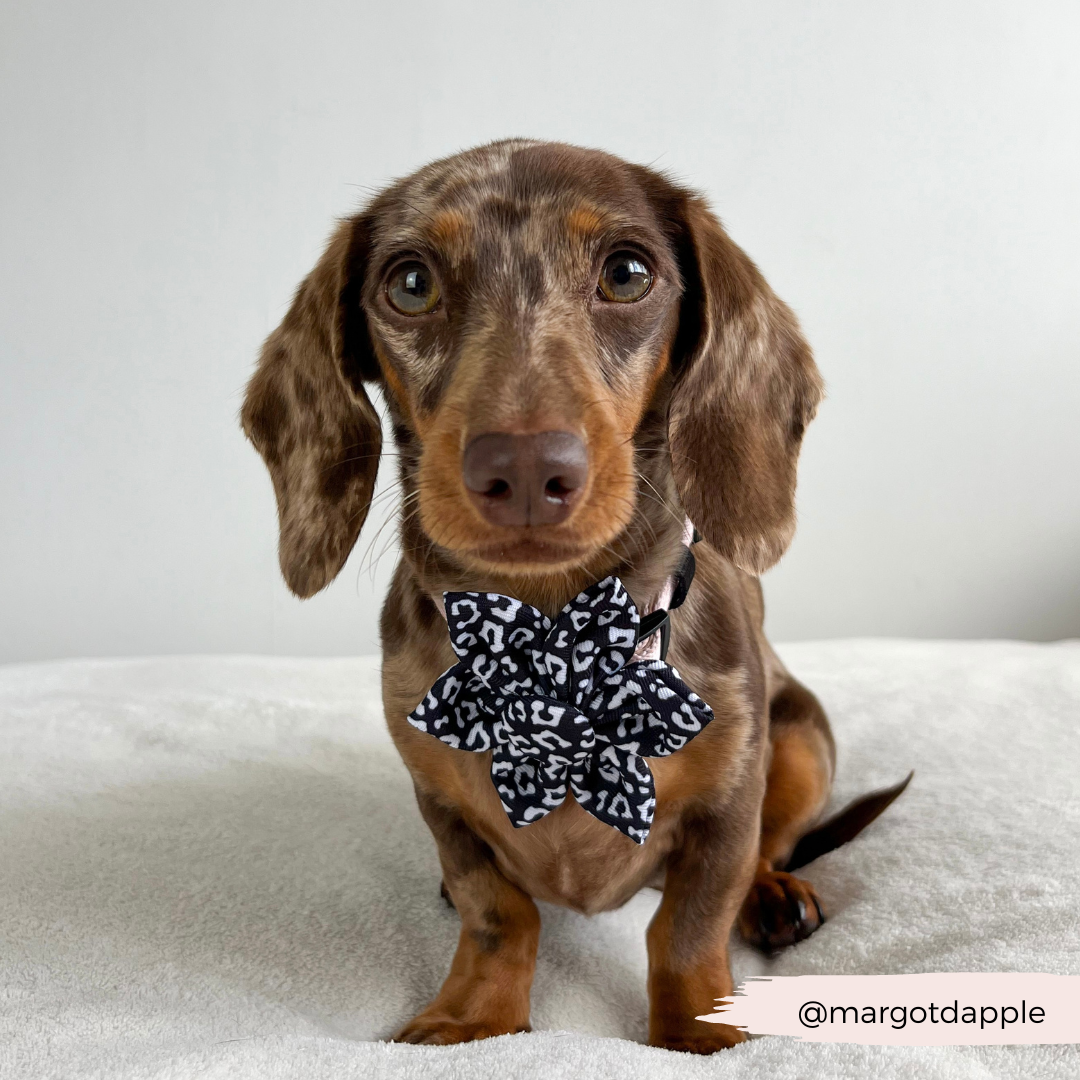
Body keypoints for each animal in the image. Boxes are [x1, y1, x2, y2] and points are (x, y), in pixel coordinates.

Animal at [240, 141, 907, 1054]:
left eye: (627, 273)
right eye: (410, 282)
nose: (523, 471)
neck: (551, 633)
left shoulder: (732, 794)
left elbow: (690, 923)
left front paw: (700, 1031)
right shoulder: (438, 796)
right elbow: (497, 910)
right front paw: (471, 1017)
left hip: (804, 738)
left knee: (776, 843)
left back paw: (775, 892)